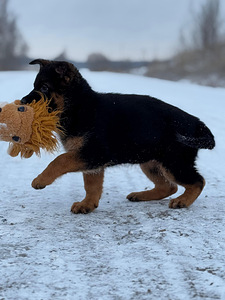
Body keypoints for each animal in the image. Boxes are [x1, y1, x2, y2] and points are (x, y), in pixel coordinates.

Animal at [20, 58, 214, 213]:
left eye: (44, 87)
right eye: (34, 86)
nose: (22, 102)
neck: (79, 106)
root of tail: (197, 123)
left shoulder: (93, 153)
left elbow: (59, 160)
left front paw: (40, 180)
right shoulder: (92, 163)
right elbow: (92, 185)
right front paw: (87, 205)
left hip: (173, 162)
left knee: (198, 181)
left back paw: (183, 201)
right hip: (150, 162)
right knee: (168, 186)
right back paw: (141, 195)